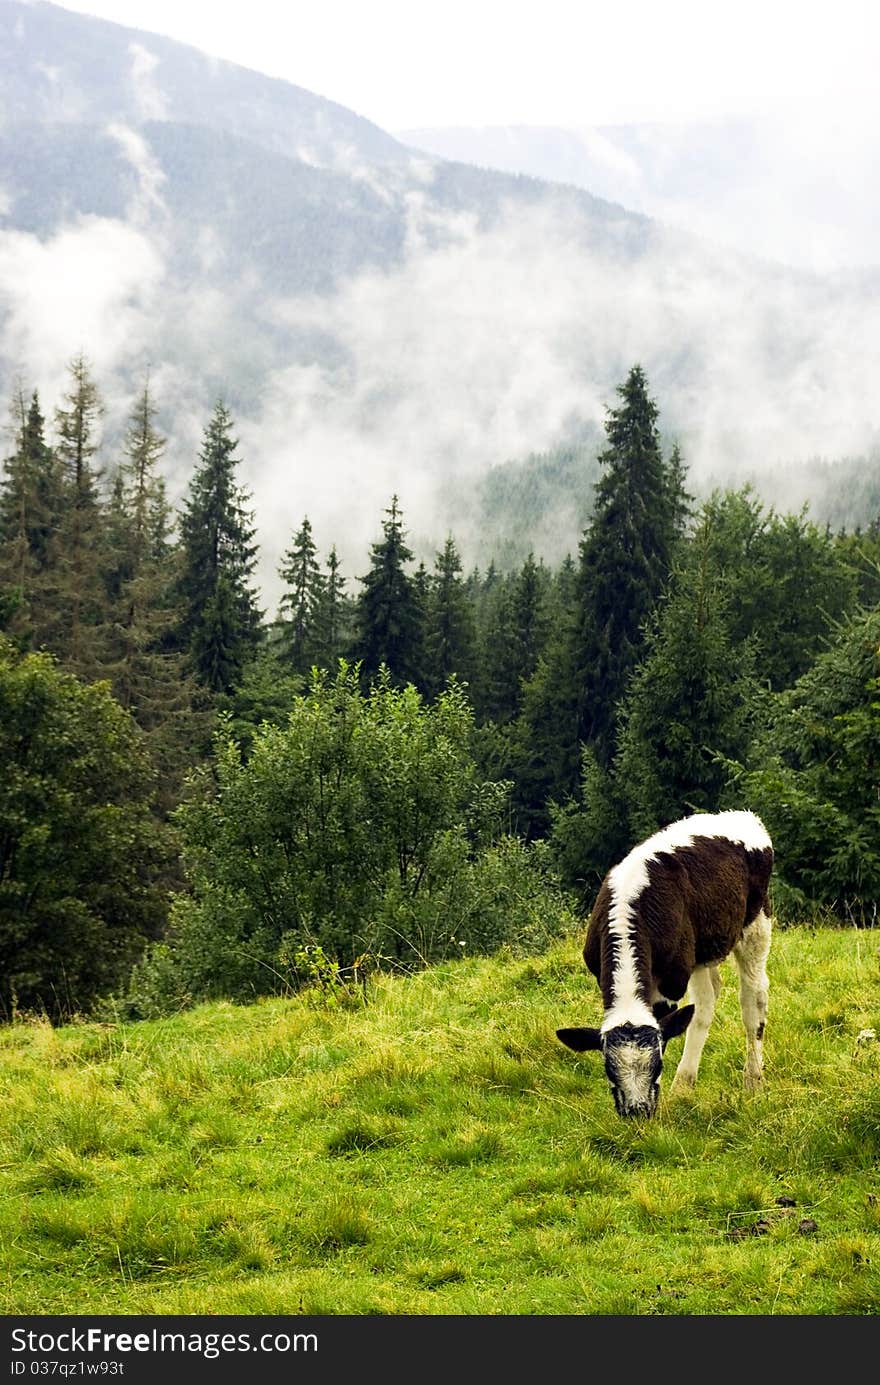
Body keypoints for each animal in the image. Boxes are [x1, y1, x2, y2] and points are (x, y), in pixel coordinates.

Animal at [554, 808, 776, 1113]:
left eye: (657, 1064)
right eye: (609, 1069)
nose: (637, 1113)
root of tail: (741, 815)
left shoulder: (670, 983)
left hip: (755, 924)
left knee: (752, 998)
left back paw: (752, 1080)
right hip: (700, 952)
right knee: (707, 1001)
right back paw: (685, 1084)